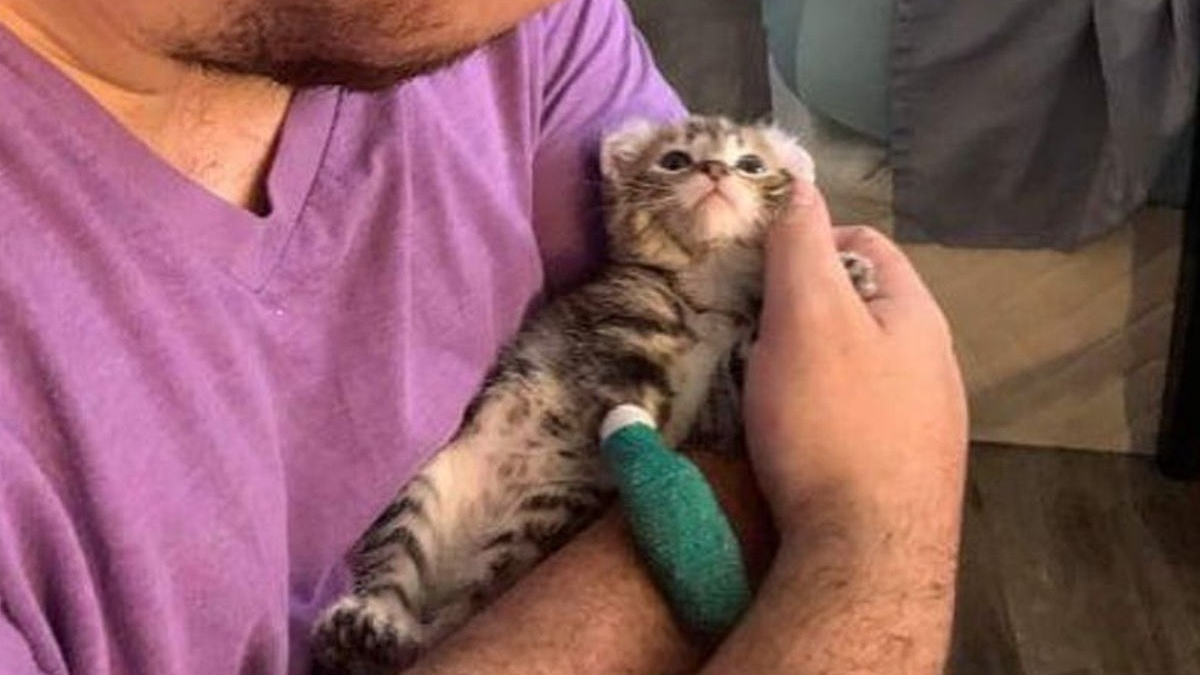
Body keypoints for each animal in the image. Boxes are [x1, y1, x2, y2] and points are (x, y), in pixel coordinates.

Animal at [309, 115, 873, 672]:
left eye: (751, 164)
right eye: (675, 160)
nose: (714, 170)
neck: (707, 288)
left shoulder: (717, 412)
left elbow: (730, 373)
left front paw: (851, 270)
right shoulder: (618, 334)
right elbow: (633, 413)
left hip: (542, 512)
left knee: (472, 600)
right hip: (428, 487)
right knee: (409, 576)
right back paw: (368, 624)